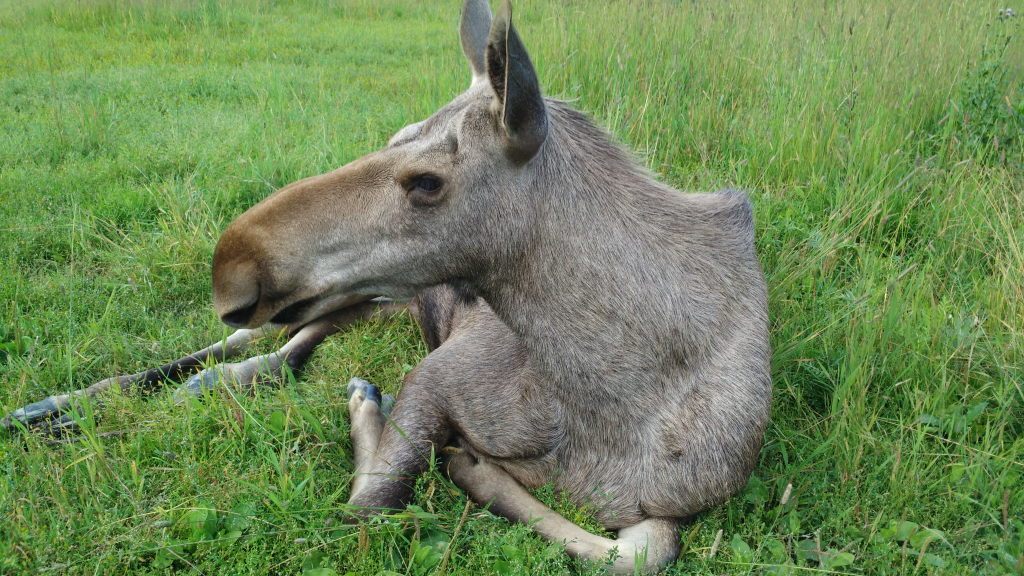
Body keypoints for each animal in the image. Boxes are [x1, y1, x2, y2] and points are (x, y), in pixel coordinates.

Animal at [3, 1, 771, 572]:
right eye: (396, 133)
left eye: (426, 181)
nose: (232, 264)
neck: (606, 396)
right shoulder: (435, 375)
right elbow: (372, 502)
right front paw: (406, 430)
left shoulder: (663, 509)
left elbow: (648, 548)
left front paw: (470, 465)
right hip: (370, 296)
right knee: (251, 342)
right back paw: (54, 407)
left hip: (375, 295)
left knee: (285, 350)